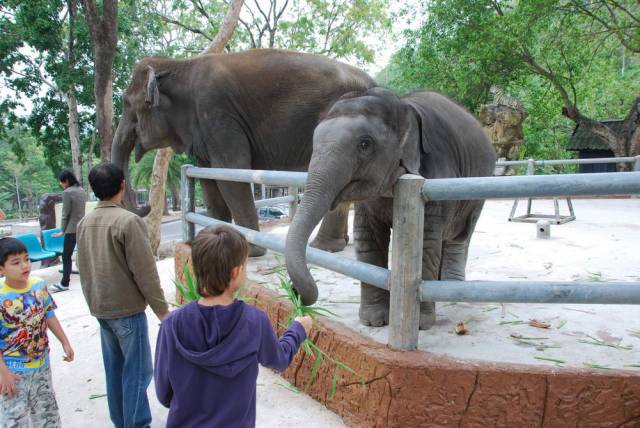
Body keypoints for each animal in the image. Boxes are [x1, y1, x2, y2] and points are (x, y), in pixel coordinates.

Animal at [111, 47, 376, 254]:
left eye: (126, 103)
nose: (145, 206)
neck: (179, 65)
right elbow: (209, 179)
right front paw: (212, 241)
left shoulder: (218, 114)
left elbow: (231, 171)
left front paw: (251, 251)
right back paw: (335, 246)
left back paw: (323, 248)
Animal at [284, 86, 496, 328]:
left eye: (364, 144)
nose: (294, 291)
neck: (403, 105)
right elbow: (368, 239)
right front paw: (373, 321)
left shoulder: (435, 171)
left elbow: (426, 241)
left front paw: (421, 325)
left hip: (480, 185)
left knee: (460, 235)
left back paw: (451, 289)